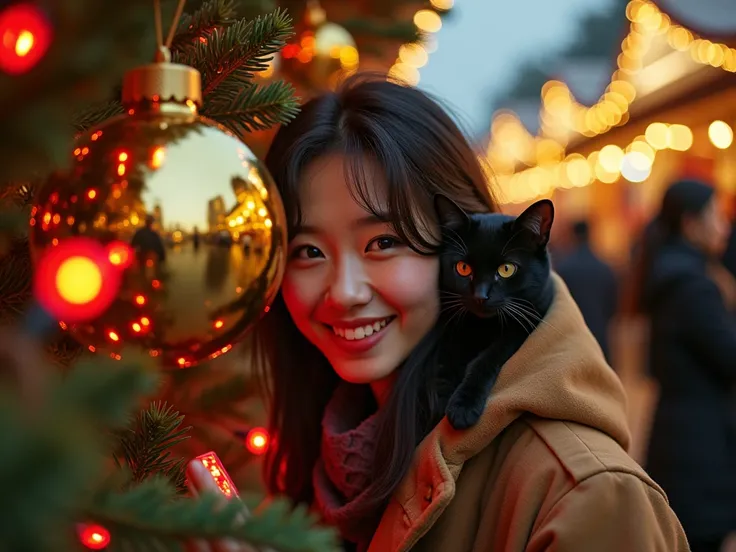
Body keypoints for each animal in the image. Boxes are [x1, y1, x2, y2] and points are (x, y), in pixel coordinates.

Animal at [434, 194, 556, 432]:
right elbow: (446, 359)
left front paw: (462, 407)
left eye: (506, 269)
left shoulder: (526, 323)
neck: (484, 327)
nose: (480, 296)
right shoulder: (453, 326)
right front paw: (442, 398)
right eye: (463, 268)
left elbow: (486, 358)